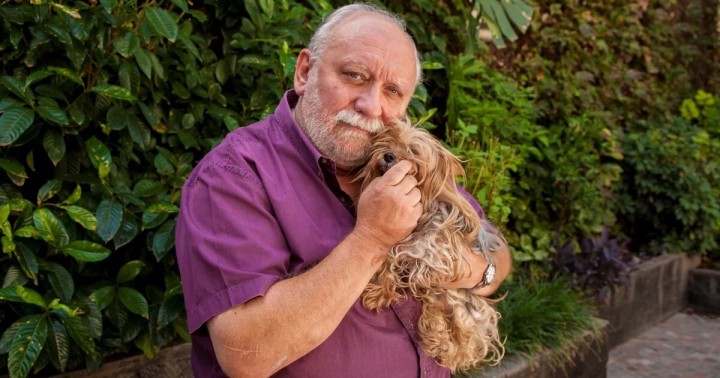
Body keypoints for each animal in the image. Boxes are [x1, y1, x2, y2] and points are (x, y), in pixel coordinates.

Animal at [354, 119, 506, 372]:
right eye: (388, 141)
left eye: (413, 152)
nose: (388, 155)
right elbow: (389, 255)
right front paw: (380, 293)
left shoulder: (441, 241)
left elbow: (421, 252)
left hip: (467, 308)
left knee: (463, 340)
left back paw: (443, 344)